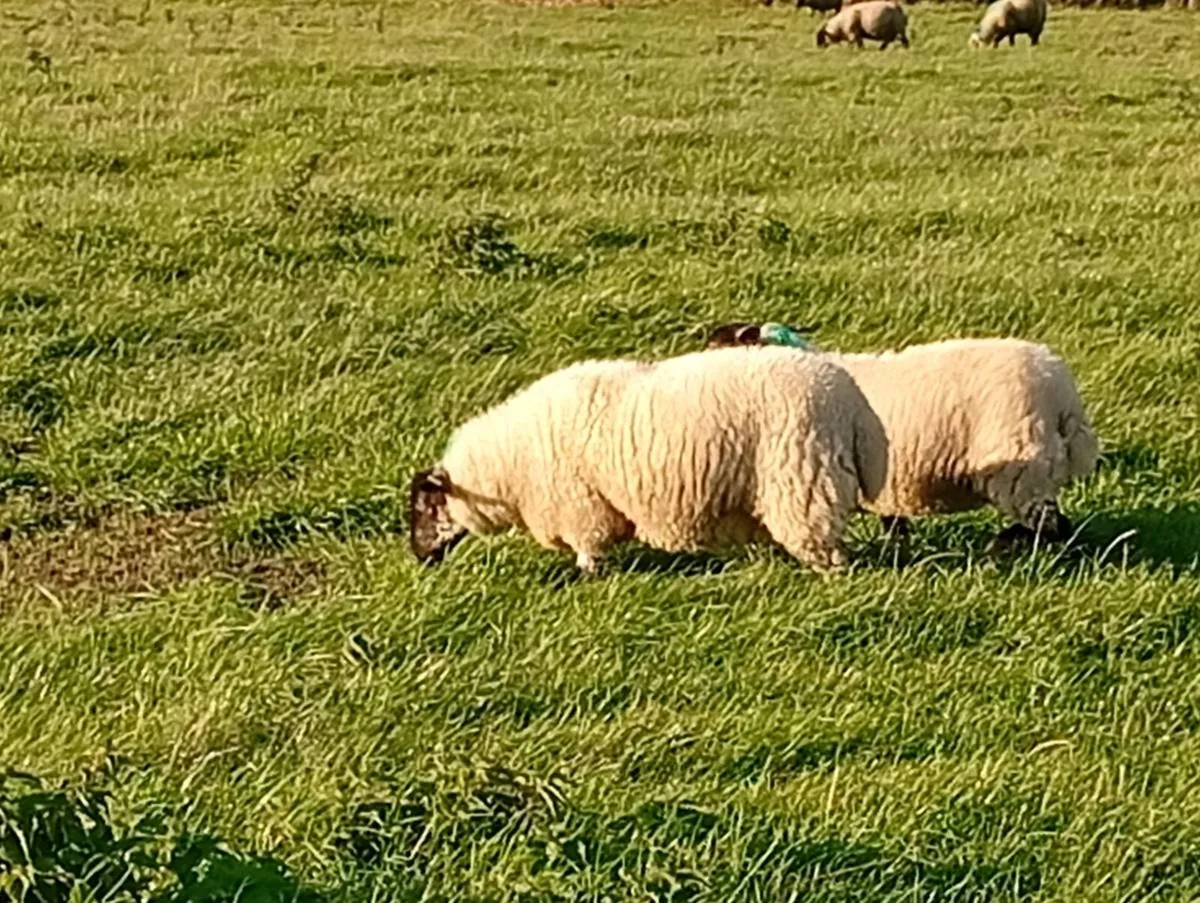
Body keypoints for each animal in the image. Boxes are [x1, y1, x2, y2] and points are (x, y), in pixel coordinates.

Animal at [410, 346, 888, 574]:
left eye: (427, 507)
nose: (418, 556)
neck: (509, 464)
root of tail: (848, 398)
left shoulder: (580, 505)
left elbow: (589, 552)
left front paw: (591, 579)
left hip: (802, 476)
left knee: (822, 543)